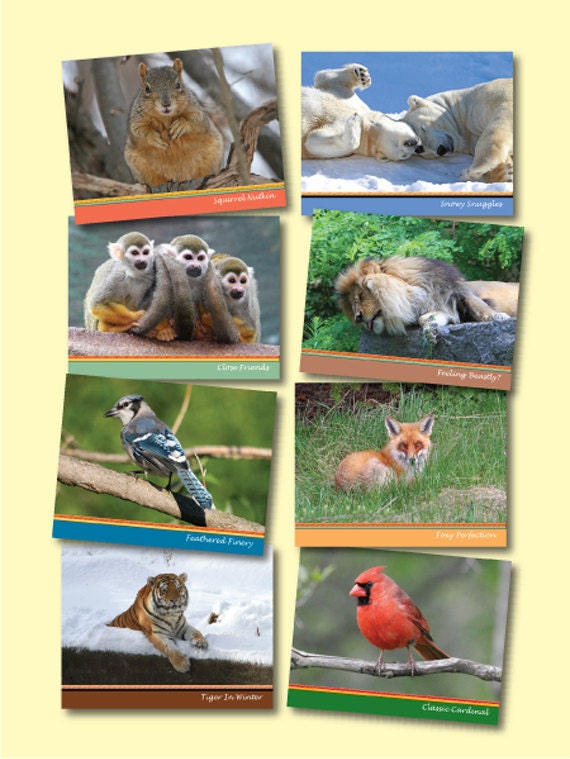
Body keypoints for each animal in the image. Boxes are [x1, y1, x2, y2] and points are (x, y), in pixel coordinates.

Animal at [335, 256, 519, 337]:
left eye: (360, 296)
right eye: (353, 306)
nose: (358, 318)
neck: (414, 296)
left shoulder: (459, 291)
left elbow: (480, 306)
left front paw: (498, 316)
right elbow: (426, 318)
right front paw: (432, 326)